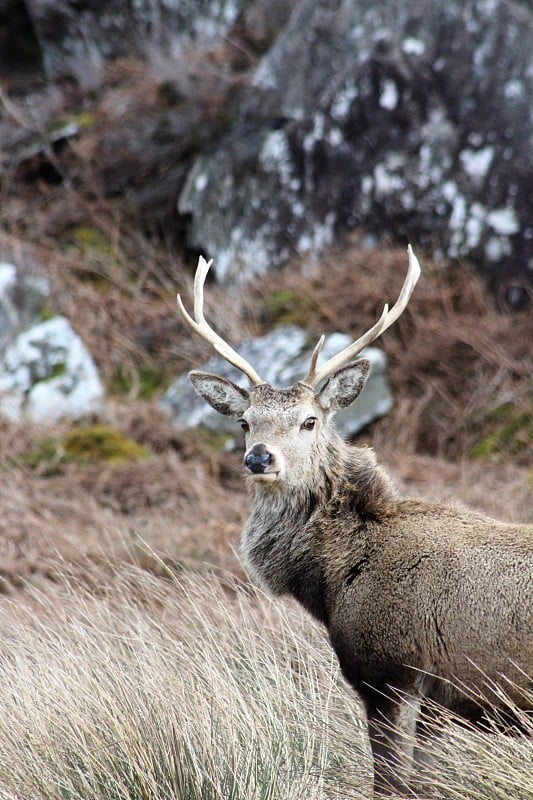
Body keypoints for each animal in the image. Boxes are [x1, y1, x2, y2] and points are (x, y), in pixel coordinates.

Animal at [178, 247, 532, 796]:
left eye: (310, 420)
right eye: (244, 422)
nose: (259, 458)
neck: (332, 582)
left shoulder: (389, 670)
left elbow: (390, 784)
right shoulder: (437, 703)